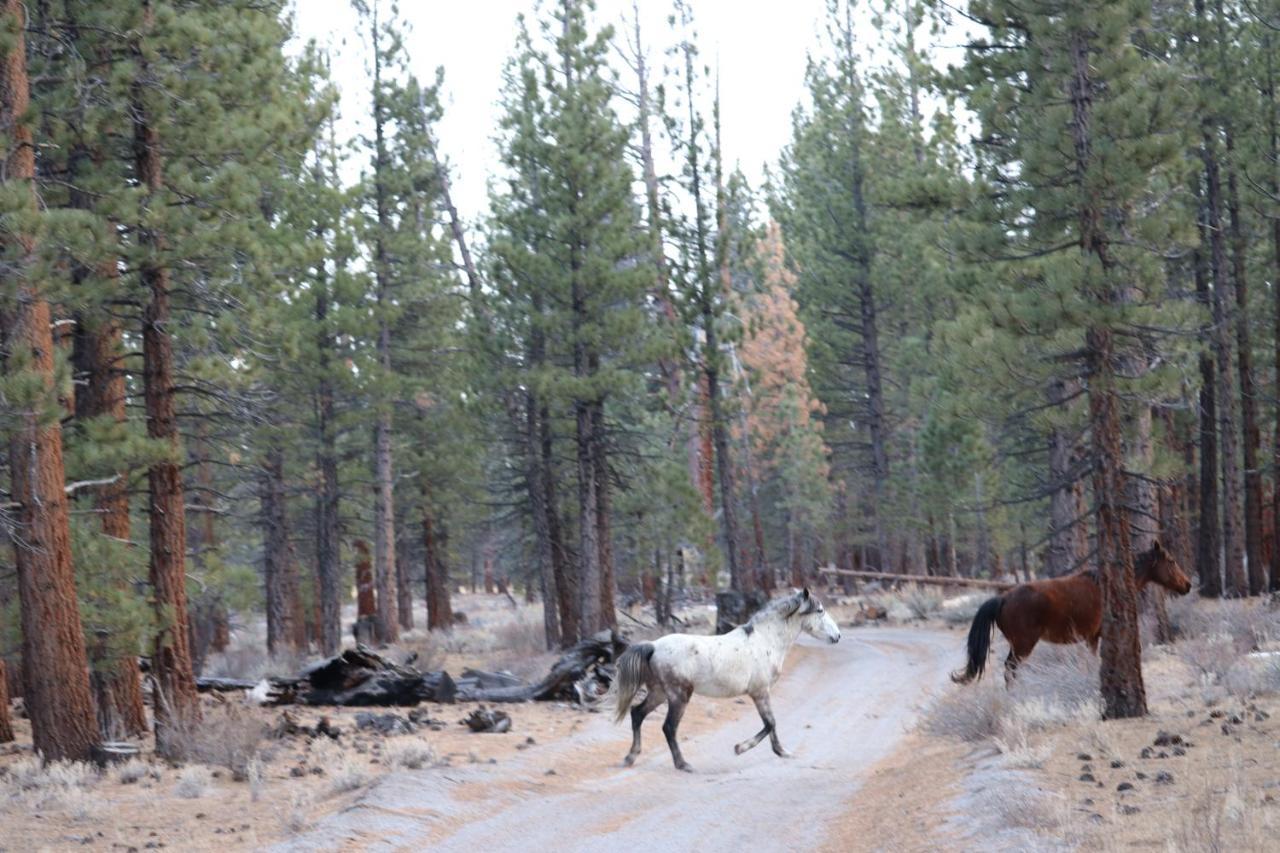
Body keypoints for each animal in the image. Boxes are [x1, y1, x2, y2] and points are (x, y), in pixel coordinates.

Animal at [614, 589, 844, 768]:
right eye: (820, 611)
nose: (838, 636)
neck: (765, 640)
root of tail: (653, 646)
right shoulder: (760, 692)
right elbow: (770, 723)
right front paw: (740, 748)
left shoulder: (762, 693)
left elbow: (771, 724)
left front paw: (782, 751)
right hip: (678, 695)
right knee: (668, 727)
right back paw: (683, 764)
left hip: (659, 692)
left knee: (637, 714)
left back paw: (630, 757)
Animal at [952, 537, 1187, 686]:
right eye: (1172, 561)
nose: (1187, 585)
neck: (1107, 586)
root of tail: (1002, 599)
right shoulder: (1095, 637)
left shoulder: (1091, 638)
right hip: (1022, 646)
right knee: (1010, 670)